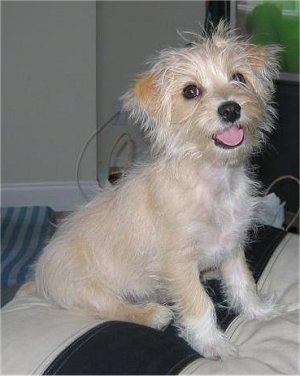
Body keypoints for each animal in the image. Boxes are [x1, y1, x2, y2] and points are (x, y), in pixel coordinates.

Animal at [31, 22, 280, 358]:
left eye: (238, 77)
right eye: (191, 91)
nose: (230, 109)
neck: (214, 178)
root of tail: (37, 278)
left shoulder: (232, 244)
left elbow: (244, 282)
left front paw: (259, 311)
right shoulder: (179, 263)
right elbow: (199, 304)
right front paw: (212, 343)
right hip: (85, 287)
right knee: (112, 307)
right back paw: (152, 313)